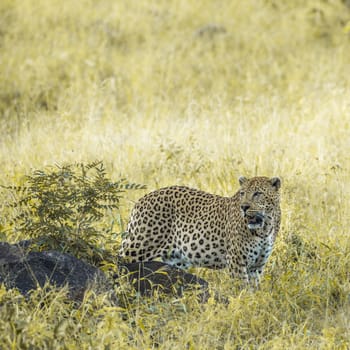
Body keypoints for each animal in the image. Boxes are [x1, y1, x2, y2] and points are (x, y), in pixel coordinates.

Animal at [120, 176, 282, 286]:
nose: (244, 207)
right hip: (138, 246)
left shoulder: (257, 266)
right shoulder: (236, 261)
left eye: (257, 193)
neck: (265, 228)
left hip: (176, 260)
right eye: (242, 193)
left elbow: (254, 290)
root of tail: (142, 199)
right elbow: (241, 288)